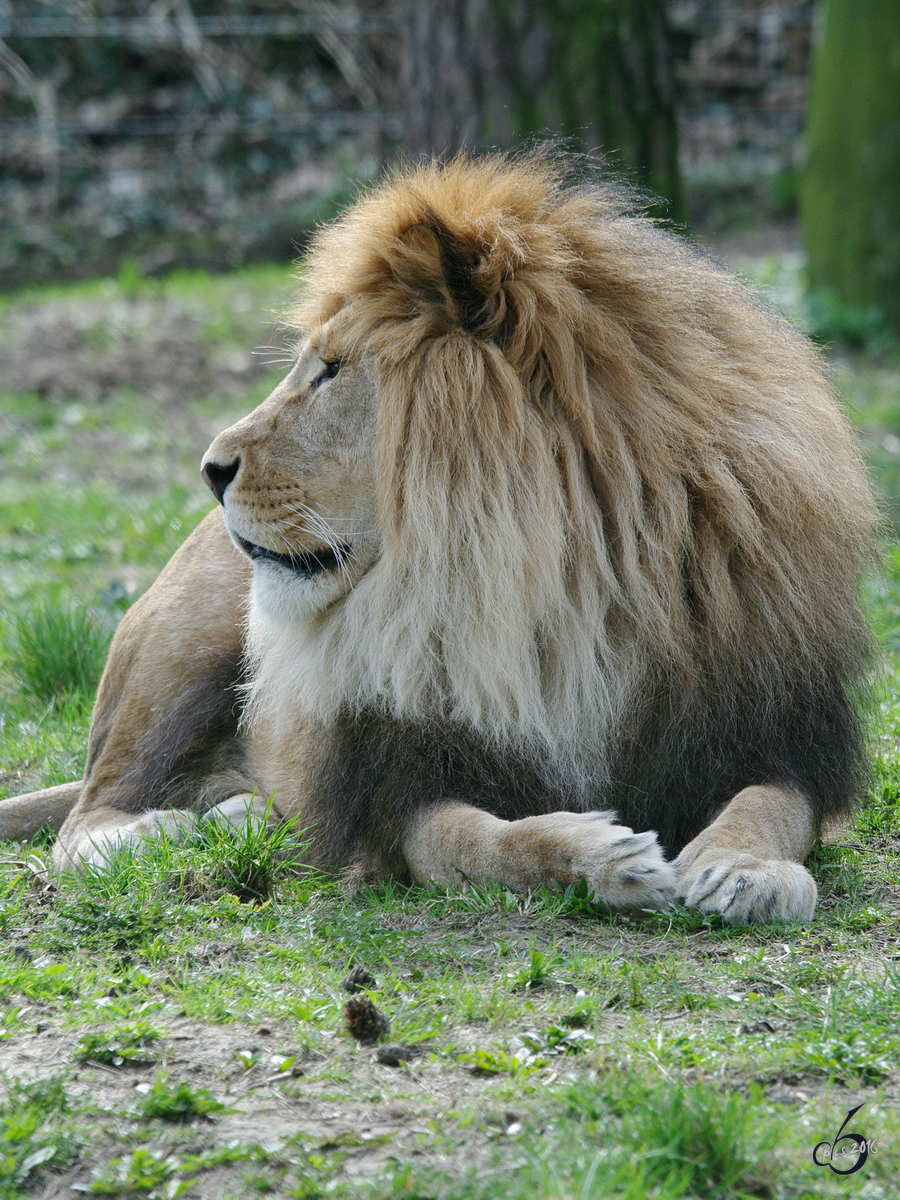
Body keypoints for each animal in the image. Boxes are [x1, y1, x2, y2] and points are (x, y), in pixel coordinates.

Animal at [0, 150, 873, 916]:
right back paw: (164, 831)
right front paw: (602, 857)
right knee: (88, 813)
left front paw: (742, 872)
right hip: (182, 645)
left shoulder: (769, 727)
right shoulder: (398, 785)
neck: (562, 580)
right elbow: (482, 842)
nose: (211, 469)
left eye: (330, 371)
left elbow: (768, 805)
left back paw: (241, 814)